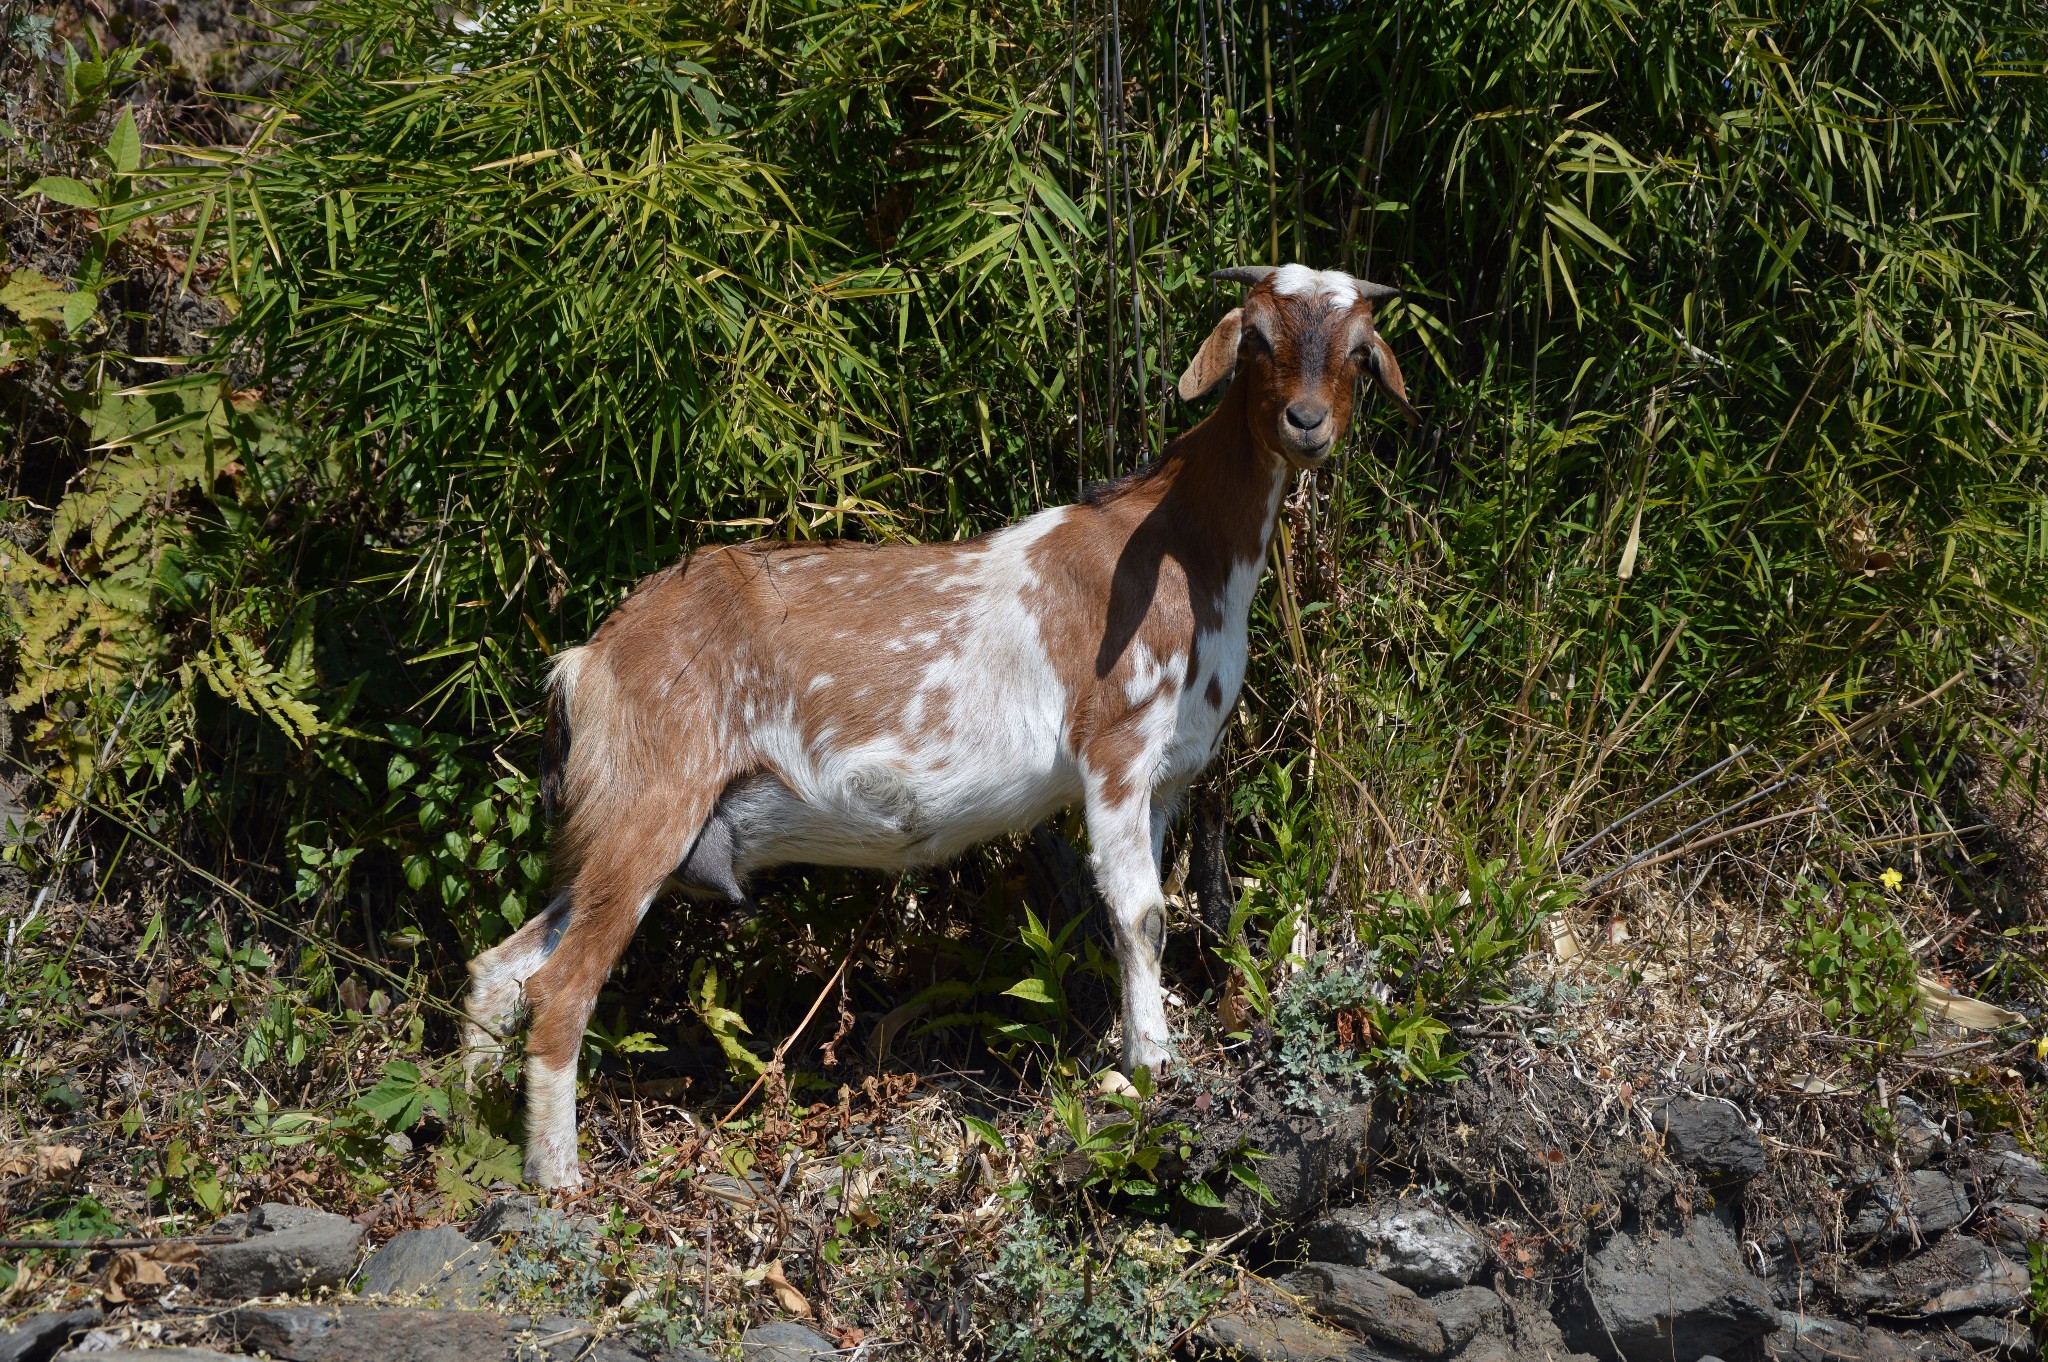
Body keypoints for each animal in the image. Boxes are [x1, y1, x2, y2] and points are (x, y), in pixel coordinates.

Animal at [460, 262, 1409, 1179]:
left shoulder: (1168, 776)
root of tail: (588, 659)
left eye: (1360, 351)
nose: (1306, 424)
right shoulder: (1115, 749)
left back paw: (465, 1123)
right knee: (561, 987)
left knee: (502, 967)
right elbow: (1139, 912)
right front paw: (1152, 1067)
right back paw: (556, 1177)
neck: (1180, 547)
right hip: (653, 800)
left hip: (615, 820)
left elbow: (1149, 912)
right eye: (1257, 338)